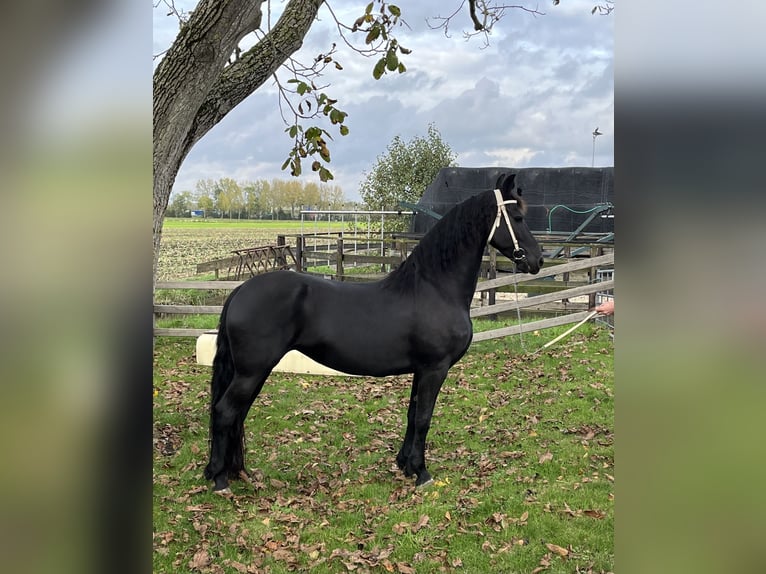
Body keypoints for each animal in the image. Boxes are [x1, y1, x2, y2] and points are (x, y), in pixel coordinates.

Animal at [204, 172, 543, 492]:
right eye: (518, 217)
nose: (538, 259)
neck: (434, 287)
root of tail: (240, 291)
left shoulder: (422, 370)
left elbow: (412, 414)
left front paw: (406, 464)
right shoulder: (435, 368)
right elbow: (424, 418)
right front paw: (422, 473)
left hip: (254, 372)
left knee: (237, 414)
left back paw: (235, 472)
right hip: (252, 371)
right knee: (225, 412)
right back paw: (220, 479)